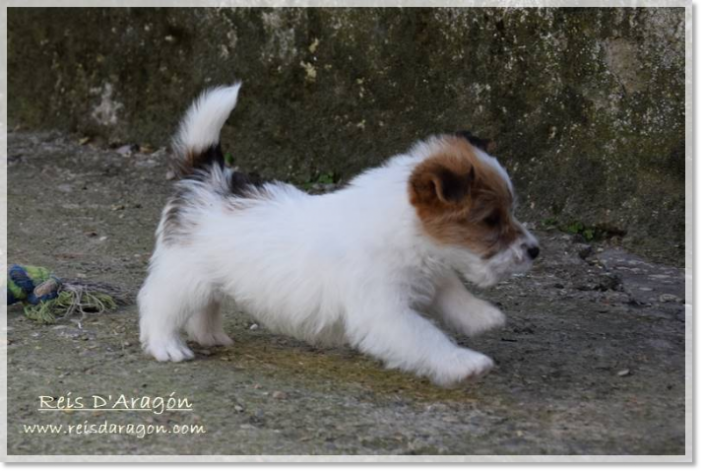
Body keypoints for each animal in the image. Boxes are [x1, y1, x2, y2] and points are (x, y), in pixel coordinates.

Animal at [140, 83, 540, 386]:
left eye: (509, 211)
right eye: (490, 220)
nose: (535, 251)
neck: (406, 231)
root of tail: (207, 176)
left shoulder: (432, 276)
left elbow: (454, 295)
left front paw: (484, 316)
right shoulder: (385, 314)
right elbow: (427, 337)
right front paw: (463, 363)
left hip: (209, 277)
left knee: (205, 305)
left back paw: (211, 335)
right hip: (184, 274)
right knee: (158, 302)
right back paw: (166, 345)